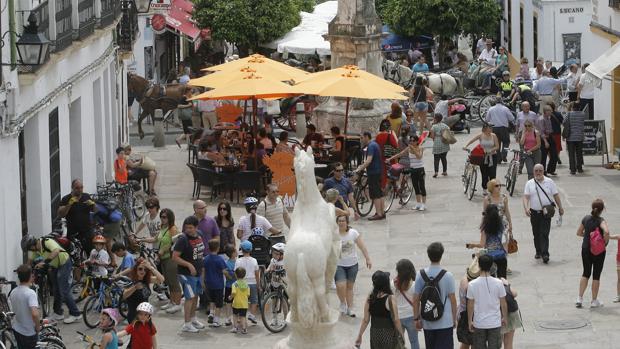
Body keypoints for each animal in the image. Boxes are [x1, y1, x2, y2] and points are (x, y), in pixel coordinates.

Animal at [284, 147, 340, 328]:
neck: (308, 203)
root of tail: (301, 253)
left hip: (292, 277)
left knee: (292, 294)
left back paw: (294, 319)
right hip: (316, 278)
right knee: (320, 293)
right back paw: (326, 318)